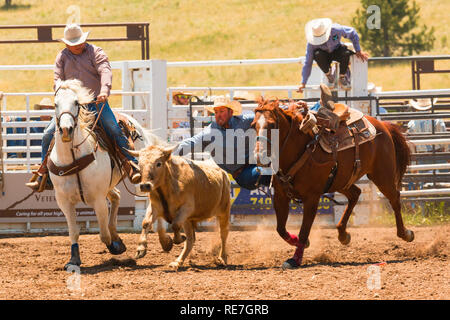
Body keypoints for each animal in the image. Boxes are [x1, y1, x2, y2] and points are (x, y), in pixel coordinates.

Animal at [50, 79, 159, 268]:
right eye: (55, 104)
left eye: (76, 103)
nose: (65, 130)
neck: (74, 158)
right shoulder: (64, 201)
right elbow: (74, 231)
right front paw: (74, 260)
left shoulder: (98, 199)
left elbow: (103, 234)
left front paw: (116, 246)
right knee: (116, 196)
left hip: (142, 178)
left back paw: (142, 246)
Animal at [251, 99, 414, 268]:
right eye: (253, 124)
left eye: (271, 125)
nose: (259, 155)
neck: (300, 150)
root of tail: (383, 125)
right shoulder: (280, 196)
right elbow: (281, 229)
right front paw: (299, 243)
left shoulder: (312, 198)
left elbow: (304, 230)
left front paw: (295, 259)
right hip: (341, 180)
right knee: (355, 194)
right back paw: (343, 234)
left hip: (382, 175)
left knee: (395, 198)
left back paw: (405, 233)